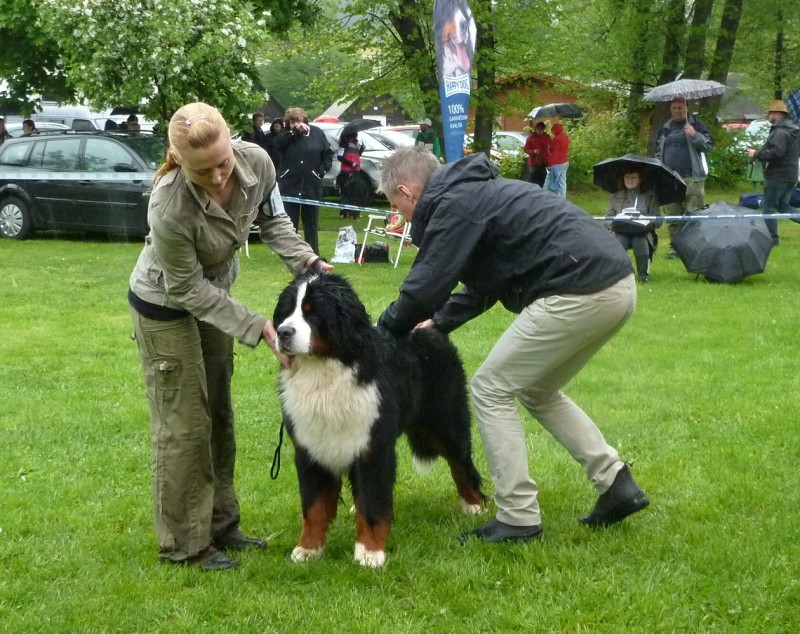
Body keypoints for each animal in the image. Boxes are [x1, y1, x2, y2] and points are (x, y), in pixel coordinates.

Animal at [276, 274, 484, 564]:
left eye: (312, 313)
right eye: (286, 312)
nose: (282, 332)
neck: (324, 374)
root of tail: (429, 329)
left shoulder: (373, 446)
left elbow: (373, 504)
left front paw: (370, 552)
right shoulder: (311, 447)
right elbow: (314, 507)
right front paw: (308, 549)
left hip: (446, 423)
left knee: (461, 464)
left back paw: (474, 504)